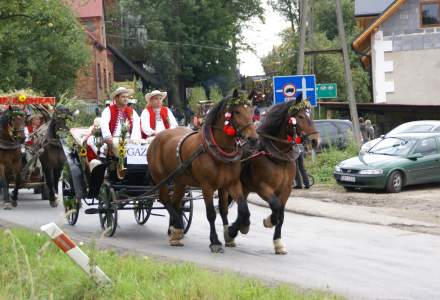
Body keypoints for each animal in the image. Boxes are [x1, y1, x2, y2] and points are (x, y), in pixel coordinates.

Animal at [148, 91, 258, 253]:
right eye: (237, 112)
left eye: (251, 110)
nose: (254, 138)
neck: (217, 149)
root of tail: (158, 137)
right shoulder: (207, 187)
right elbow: (211, 214)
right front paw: (215, 241)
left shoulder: (230, 184)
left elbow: (237, 209)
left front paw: (235, 231)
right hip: (161, 178)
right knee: (165, 200)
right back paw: (178, 226)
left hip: (180, 181)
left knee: (175, 203)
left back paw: (174, 231)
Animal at [220, 99, 320, 254]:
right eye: (300, 116)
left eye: (310, 115)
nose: (315, 140)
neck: (277, 157)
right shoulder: (262, 187)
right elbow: (275, 206)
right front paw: (269, 221)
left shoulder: (286, 189)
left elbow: (281, 213)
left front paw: (278, 242)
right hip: (226, 187)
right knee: (224, 210)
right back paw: (229, 233)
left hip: (244, 187)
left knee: (242, 208)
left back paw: (239, 226)